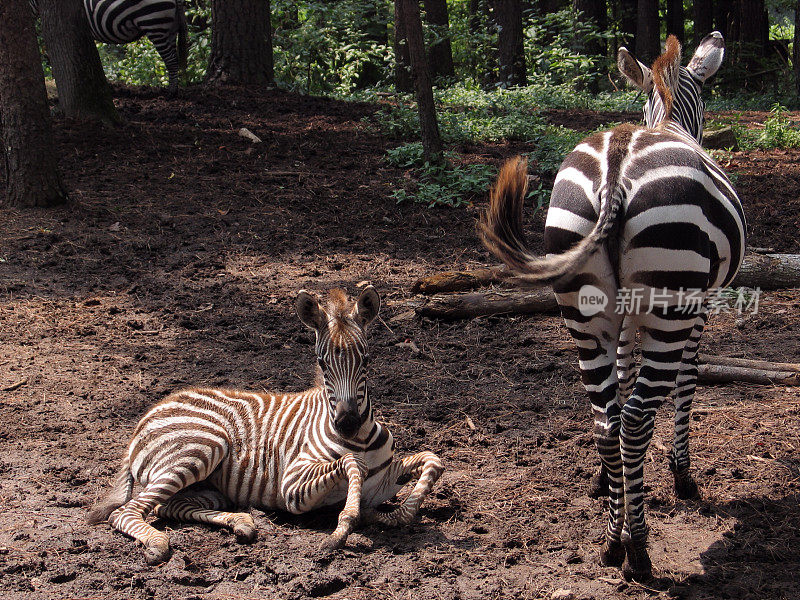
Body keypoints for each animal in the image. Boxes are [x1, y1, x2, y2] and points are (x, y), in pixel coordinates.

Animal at [87, 288, 444, 564]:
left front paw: (383, 515)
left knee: (167, 508)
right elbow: (352, 464)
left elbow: (433, 461)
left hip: (209, 489)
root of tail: (150, 412)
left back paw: (242, 522)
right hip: (200, 448)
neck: (361, 440)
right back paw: (158, 544)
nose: (347, 424)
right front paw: (343, 528)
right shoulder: (292, 486)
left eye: (366, 360)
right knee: (127, 513)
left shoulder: (386, 479)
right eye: (322, 363)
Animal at [478, 34, 748, 580]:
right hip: (670, 302)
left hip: (584, 307)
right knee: (639, 417)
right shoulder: (700, 307)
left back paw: (610, 541)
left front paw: (608, 483)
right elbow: (687, 384)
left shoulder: (623, 319)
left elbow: (621, 380)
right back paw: (638, 550)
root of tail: (617, 166)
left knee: (608, 420)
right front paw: (683, 477)